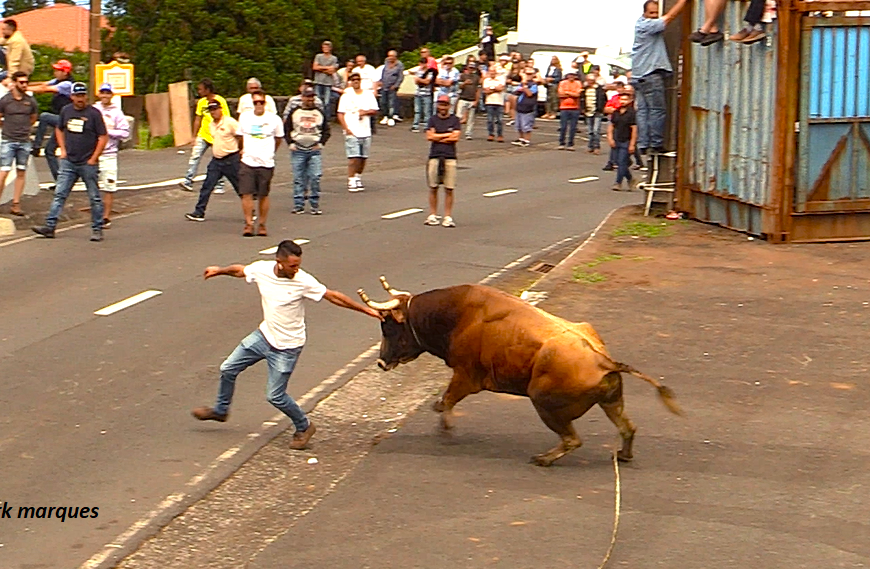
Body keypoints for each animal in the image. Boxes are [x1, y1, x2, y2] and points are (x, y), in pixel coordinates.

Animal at [358, 276, 684, 466]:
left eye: (387, 326)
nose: (381, 362)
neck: (457, 313)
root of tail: (605, 361)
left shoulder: (465, 376)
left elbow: (446, 401)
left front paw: (445, 426)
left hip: (543, 402)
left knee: (572, 440)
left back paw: (544, 458)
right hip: (611, 401)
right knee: (627, 428)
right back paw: (623, 455)